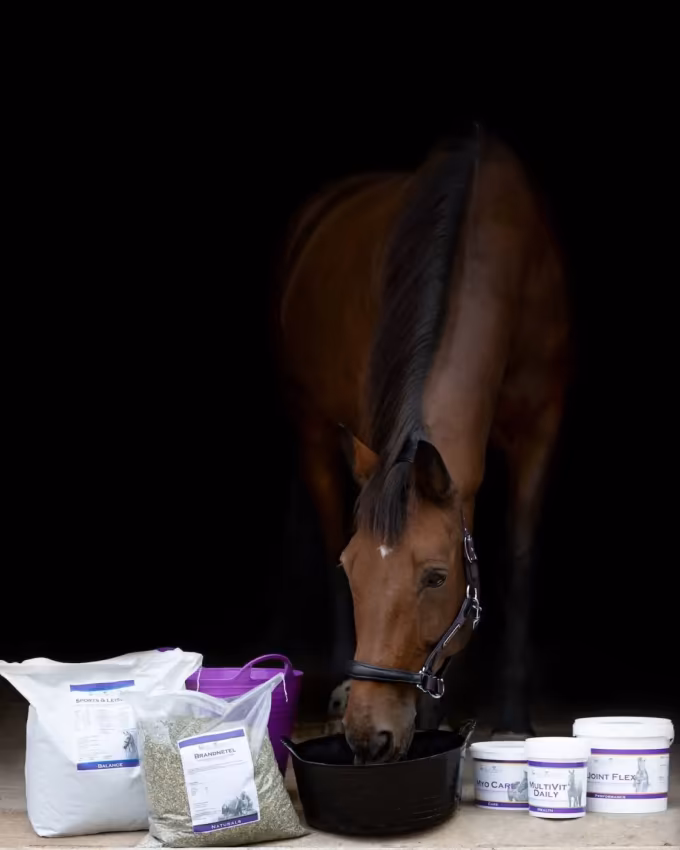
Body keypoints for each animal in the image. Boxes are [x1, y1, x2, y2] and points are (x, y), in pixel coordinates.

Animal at [278, 126, 569, 763]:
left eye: (436, 577)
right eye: (352, 572)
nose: (369, 736)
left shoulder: (540, 427)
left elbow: (519, 557)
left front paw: (513, 715)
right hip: (313, 426)